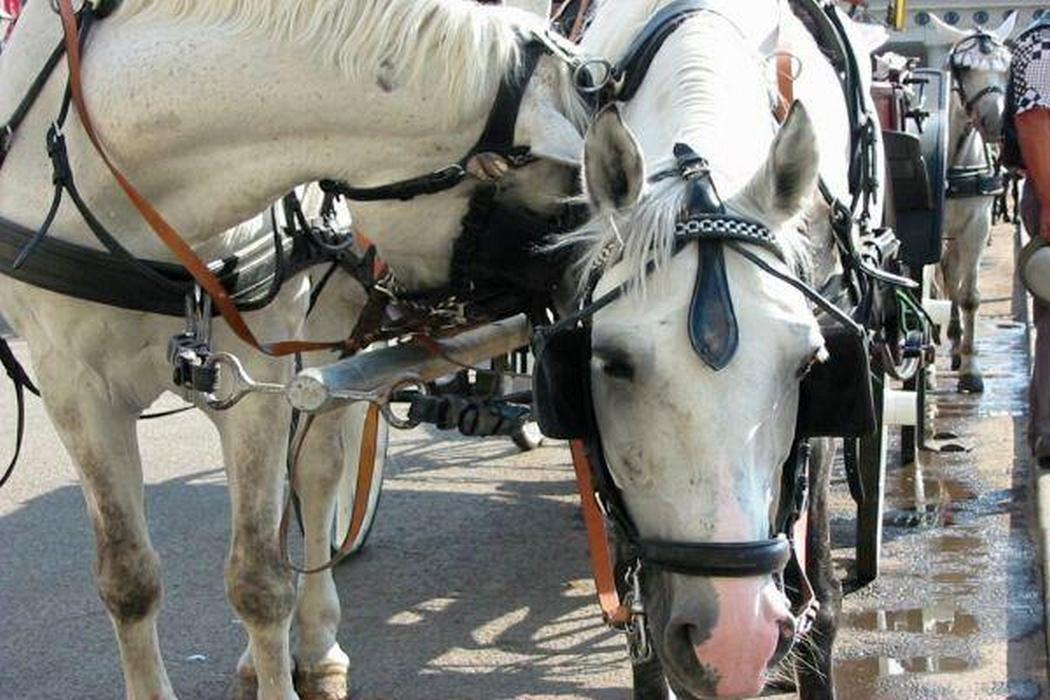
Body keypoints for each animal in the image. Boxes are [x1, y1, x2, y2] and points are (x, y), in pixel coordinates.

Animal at [0, 1, 586, 697]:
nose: (581, 293)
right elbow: (128, 579)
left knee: (318, 471)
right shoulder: (75, 390)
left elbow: (260, 579)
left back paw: (317, 648)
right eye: (562, 198)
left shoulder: (257, 374)